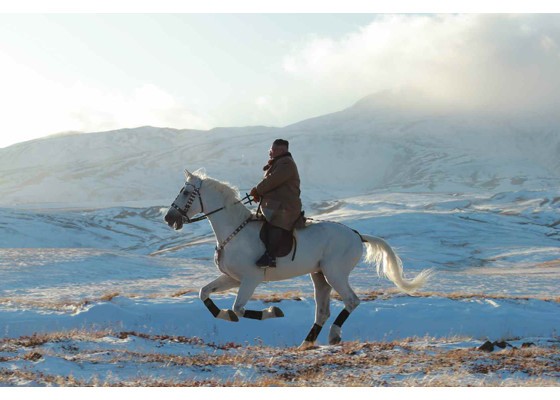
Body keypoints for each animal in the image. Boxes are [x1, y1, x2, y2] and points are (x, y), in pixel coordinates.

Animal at [164, 170, 430, 348]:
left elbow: (239, 308)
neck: (234, 231)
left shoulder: (250, 279)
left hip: (335, 273)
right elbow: (204, 293)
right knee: (322, 312)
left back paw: (333, 336)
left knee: (351, 301)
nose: (169, 218)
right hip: (319, 275)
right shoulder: (233, 278)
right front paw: (225, 315)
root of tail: (356, 235)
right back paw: (306, 344)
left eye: (186, 192)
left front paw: (273, 311)